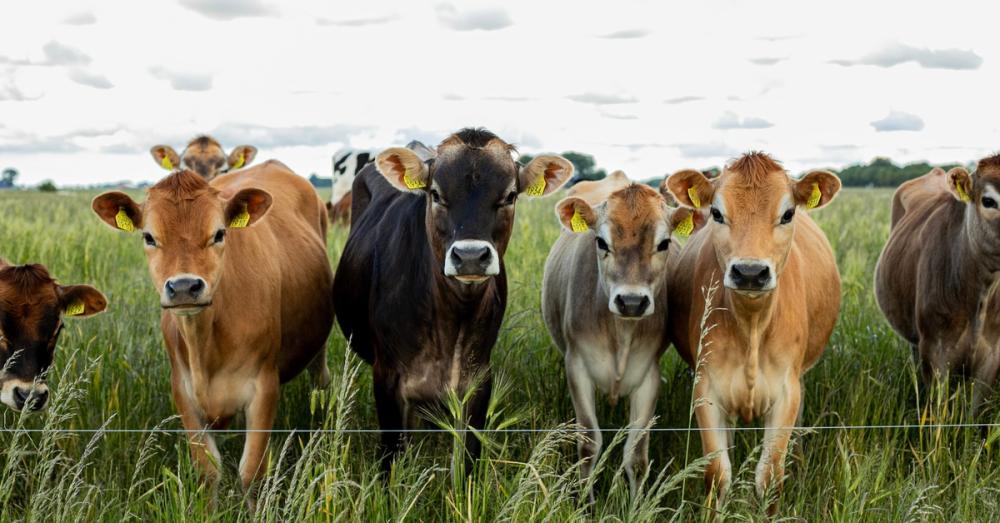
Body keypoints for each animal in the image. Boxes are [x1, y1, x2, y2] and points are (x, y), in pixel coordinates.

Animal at [91, 162, 333, 490]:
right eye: (149, 237)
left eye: (219, 233)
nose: (183, 287)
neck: (204, 343)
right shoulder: (182, 390)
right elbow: (208, 471)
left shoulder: (264, 386)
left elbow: (252, 472)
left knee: (320, 379)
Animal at [332, 128, 573, 473]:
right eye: (435, 194)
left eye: (510, 195)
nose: (470, 256)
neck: (451, 318)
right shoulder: (387, 378)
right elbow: (392, 459)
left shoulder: (478, 380)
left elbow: (467, 461)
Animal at [541, 182, 703, 499]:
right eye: (601, 242)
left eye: (664, 243)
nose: (631, 301)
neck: (621, 334)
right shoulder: (577, 368)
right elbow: (589, 443)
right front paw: (586, 502)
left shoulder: (649, 376)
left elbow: (636, 453)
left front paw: (636, 503)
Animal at [664, 152, 842, 513]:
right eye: (717, 213)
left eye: (788, 213)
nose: (749, 272)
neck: (752, 325)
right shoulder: (706, 389)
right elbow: (717, 473)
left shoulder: (786, 393)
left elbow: (770, 476)